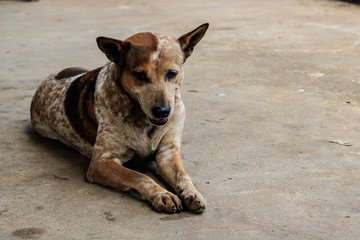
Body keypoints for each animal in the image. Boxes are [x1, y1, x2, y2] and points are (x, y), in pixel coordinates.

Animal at [31, 23, 211, 213]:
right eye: (140, 75)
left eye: (172, 73)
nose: (162, 111)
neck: (141, 117)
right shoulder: (101, 162)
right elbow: (138, 176)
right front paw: (161, 194)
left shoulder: (167, 152)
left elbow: (182, 174)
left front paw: (192, 192)